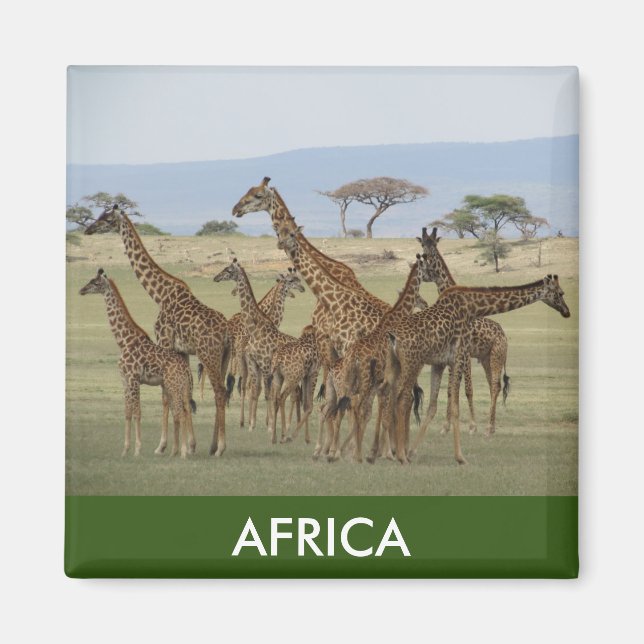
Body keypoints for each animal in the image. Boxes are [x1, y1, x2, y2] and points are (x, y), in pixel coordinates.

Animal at [79, 269, 196, 458]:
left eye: (95, 283)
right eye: (90, 280)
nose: (81, 290)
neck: (124, 341)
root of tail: (186, 368)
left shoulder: (134, 379)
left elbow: (137, 413)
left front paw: (137, 449)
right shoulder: (125, 380)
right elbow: (127, 412)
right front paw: (125, 450)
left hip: (173, 385)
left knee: (181, 412)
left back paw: (183, 452)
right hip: (180, 386)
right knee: (183, 410)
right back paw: (176, 451)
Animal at [212, 259, 298, 441]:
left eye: (228, 270)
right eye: (292, 280)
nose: (216, 277)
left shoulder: (262, 365)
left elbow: (264, 392)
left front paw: (266, 425)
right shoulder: (257, 363)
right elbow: (260, 391)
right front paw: (261, 424)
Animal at [385, 275, 571, 465]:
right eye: (560, 292)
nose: (566, 311)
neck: (472, 308)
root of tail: (393, 337)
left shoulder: (440, 363)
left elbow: (433, 405)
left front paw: (412, 451)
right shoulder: (459, 356)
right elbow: (456, 405)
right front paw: (460, 457)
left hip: (397, 365)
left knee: (390, 397)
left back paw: (393, 452)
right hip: (413, 363)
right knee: (402, 399)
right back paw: (399, 455)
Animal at [417, 227, 511, 437]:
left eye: (433, 245)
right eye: (422, 244)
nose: (424, 258)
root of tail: (504, 335)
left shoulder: (465, 353)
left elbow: (467, 389)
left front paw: (472, 426)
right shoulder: (454, 356)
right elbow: (452, 389)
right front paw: (446, 426)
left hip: (496, 356)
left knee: (495, 386)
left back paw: (488, 428)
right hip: (485, 359)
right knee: (494, 386)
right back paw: (491, 426)